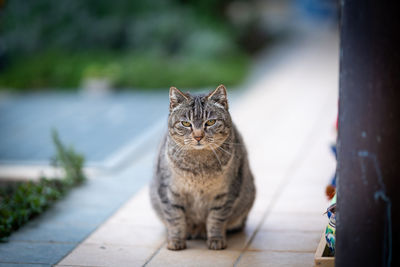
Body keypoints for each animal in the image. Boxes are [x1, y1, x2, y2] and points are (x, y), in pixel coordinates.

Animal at [150, 85, 256, 250]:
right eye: (186, 124)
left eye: (211, 122)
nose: (198, 136)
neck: (198, 167)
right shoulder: (169, 191)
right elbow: (175, 218)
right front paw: (176, 240)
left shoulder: (226, 193)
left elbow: (216, 218)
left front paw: (216, 239)